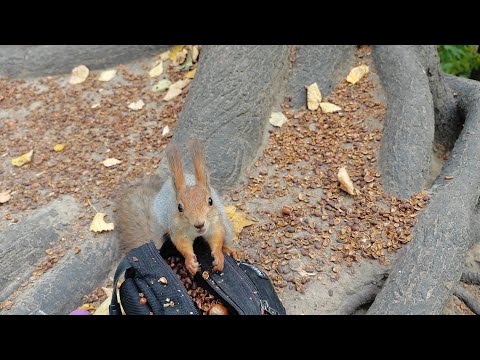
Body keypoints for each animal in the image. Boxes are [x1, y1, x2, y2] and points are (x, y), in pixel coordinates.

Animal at [115, 139, 238, 274]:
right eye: (179, 207)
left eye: (210, 201)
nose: (199, 225)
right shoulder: (177, 230)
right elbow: (182, 244)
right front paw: (190, 262)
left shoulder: (215, 223)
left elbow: (217, 237)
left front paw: (218, 257)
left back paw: (230, 251)